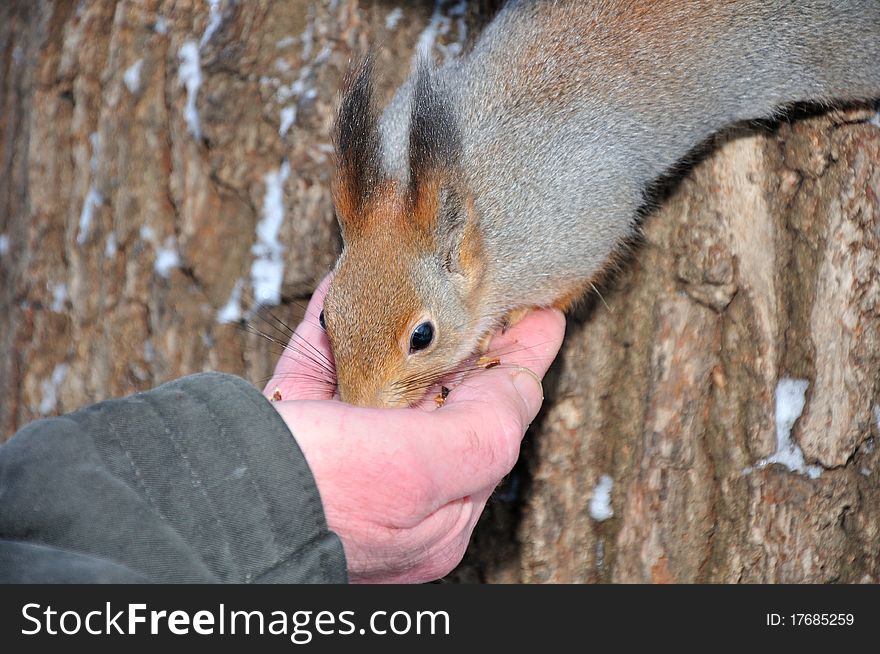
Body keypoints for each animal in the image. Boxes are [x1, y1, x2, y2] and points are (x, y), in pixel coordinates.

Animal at [320, 1, 876, 410]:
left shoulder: (583, 219)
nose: (360, 405)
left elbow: (581, 275)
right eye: (326, 317)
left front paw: (510, 320)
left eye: (422, 336)